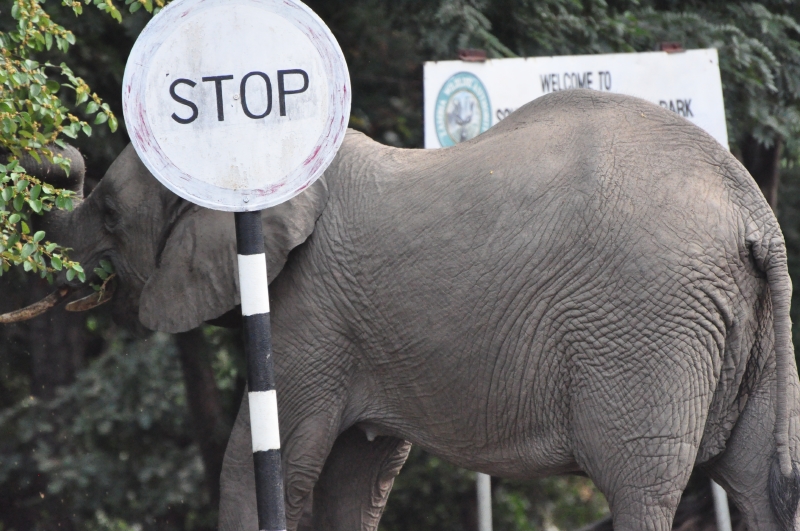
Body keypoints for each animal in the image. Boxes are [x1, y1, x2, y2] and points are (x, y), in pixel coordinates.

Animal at [6, 89, 800, 531]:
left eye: (110, 214)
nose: (54, 150)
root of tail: (750, 209)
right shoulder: (356, 327)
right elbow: (353, 483)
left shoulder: (310, 311)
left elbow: (256, 464)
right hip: (751, 329)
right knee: (760, 489)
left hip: (647, 331)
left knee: (641, 490)